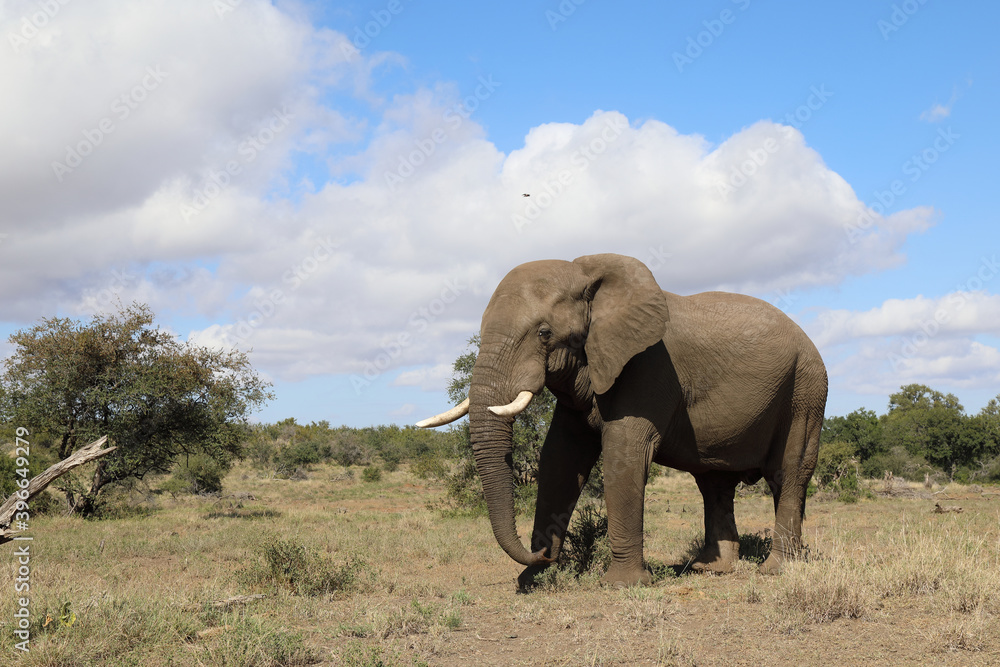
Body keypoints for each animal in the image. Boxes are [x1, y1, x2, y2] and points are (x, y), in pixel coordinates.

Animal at [417, 254, 827, 587]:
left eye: (545, 333)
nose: (544, 553)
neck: (589, 276)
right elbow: (559, 458)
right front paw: (534, 579)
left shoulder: (648, 366)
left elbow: (623, 452)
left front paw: (621, 584)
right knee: (714, 483)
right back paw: (710, 569)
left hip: (806, 389)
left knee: (788, 473)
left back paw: (776, 570)